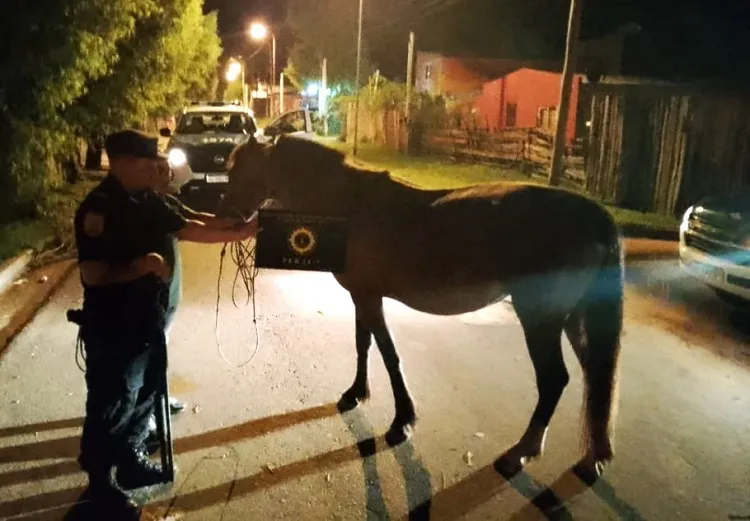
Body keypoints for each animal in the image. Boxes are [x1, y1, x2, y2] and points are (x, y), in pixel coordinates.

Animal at [221, 136, 624, 479]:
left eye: (238, 169)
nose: (228, 215)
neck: (346, 202)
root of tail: (597, 217)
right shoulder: (361, 294)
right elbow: (363, 344)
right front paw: (356, 394)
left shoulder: (369, 297)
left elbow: (388, 353)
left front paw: (403, 420)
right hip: (574, 317)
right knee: (596, 373)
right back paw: (596, 455)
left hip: (540, 317)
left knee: (555, 379)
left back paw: (520, 452)